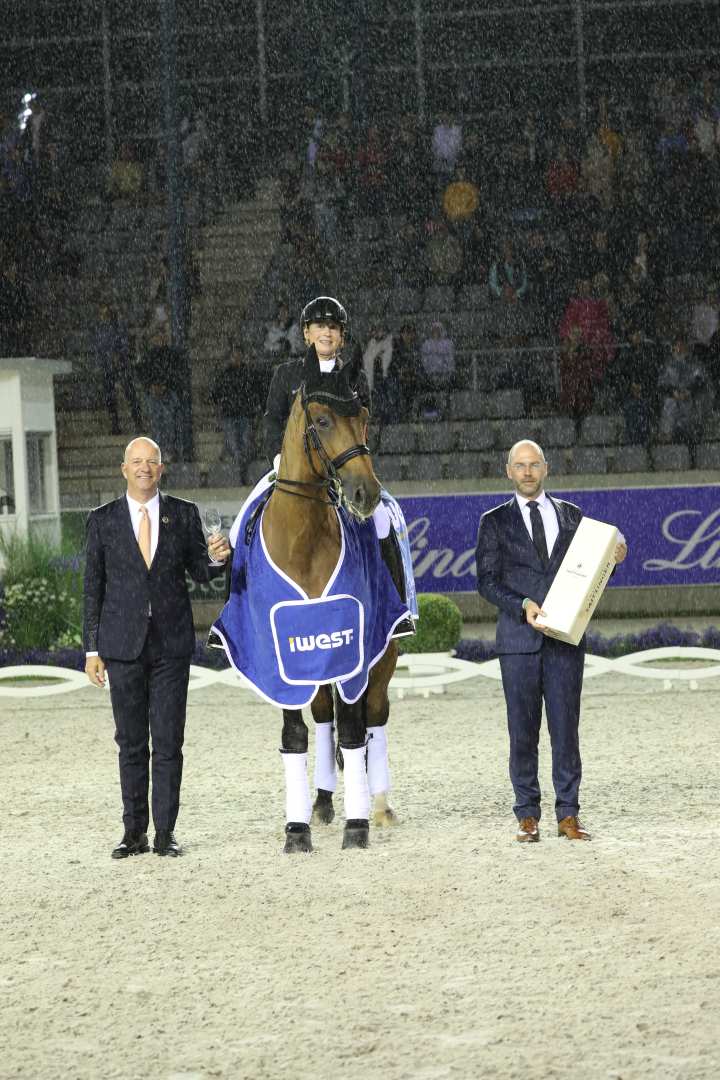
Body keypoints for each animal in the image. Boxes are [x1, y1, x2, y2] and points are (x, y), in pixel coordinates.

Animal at [212, 345, 405, 851]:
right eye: (320, 421)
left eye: (364, 417)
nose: (365, 493)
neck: (303, 540)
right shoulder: (280, 653)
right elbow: (295, 735)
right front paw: (296, 829)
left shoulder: (354, 645)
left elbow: (354, 732)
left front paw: (357, 825)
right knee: (321, 717)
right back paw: (320, 802)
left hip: (387, 650)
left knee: (375, 715)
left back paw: (379, 805)